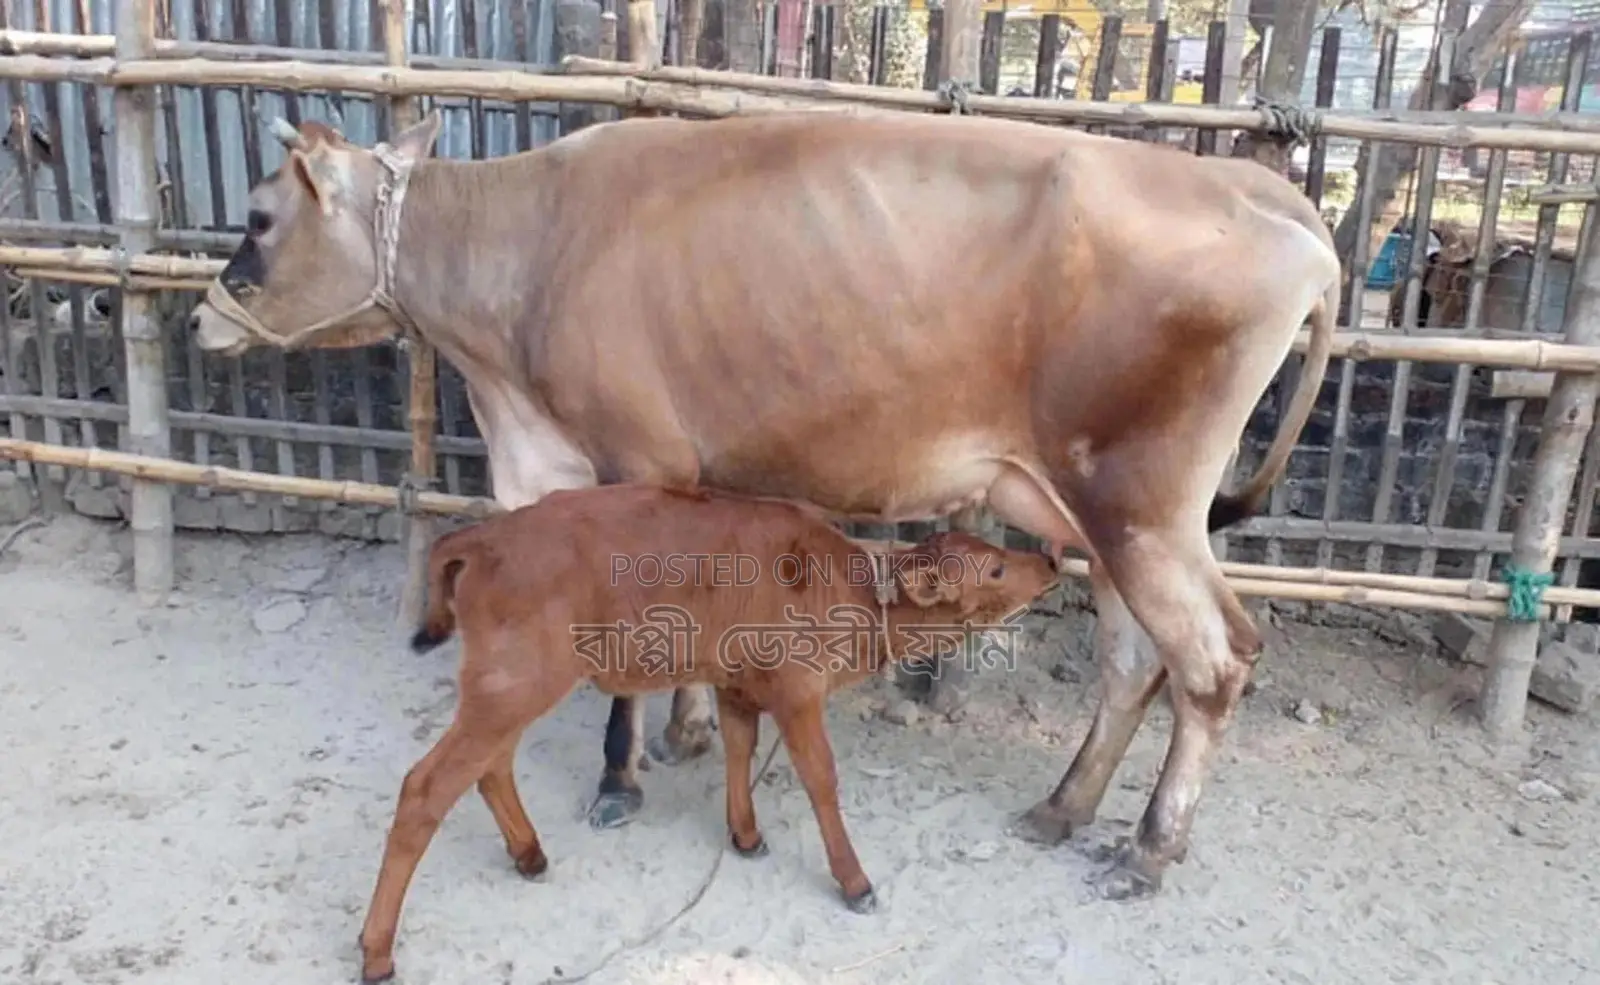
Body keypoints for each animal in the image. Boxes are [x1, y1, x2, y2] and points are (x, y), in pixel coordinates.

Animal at [186, 107, 1340, 901]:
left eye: (258, 215)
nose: (198, 317)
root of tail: (1259, 187)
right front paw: (694, 729)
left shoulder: (639, 458)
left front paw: (622, 775)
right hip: (1083, 507)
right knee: (1133, 658)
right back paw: (1062, 807)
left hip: (1141, 501)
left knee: (1213, 661)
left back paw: (1146, 851)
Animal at [355, 483, 1060, 983]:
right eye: (996, 570)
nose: (1049, 558)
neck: (853, 597)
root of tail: (480, 536)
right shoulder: (799, 693)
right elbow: (822, 781)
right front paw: (855, 882)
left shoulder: (736, 684)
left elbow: (739, 754)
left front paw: (745, 835)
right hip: (514, 685)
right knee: (426, 787)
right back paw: (377, 952)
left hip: (507, 689)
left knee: (489, 769)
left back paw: (529, 854)